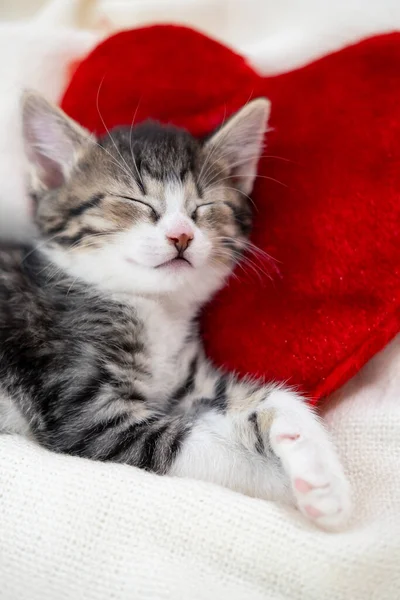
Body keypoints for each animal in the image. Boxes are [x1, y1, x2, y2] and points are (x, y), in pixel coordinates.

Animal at [0, 91, 350, 528]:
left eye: (204, 206)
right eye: (134, 201)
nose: (181, 235)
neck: (153, 308)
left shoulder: (189, 386)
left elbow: (272, 397)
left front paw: (320, 472)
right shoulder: (85, 408)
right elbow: (205, 449)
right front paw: (283, 484)